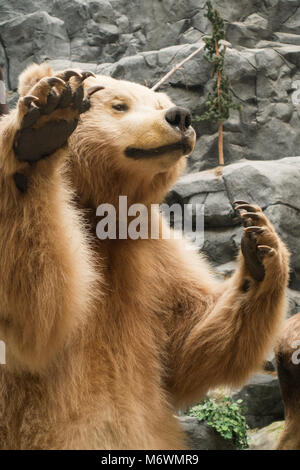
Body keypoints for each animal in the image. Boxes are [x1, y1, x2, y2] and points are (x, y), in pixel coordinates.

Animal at [0, 64, 290, 450]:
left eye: (159, 102)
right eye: (119, 105)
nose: (179, 116)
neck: (100, 212)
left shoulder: (153, 251)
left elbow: (189, 342)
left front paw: (260, 243)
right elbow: (38, 315)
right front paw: (43, 126)